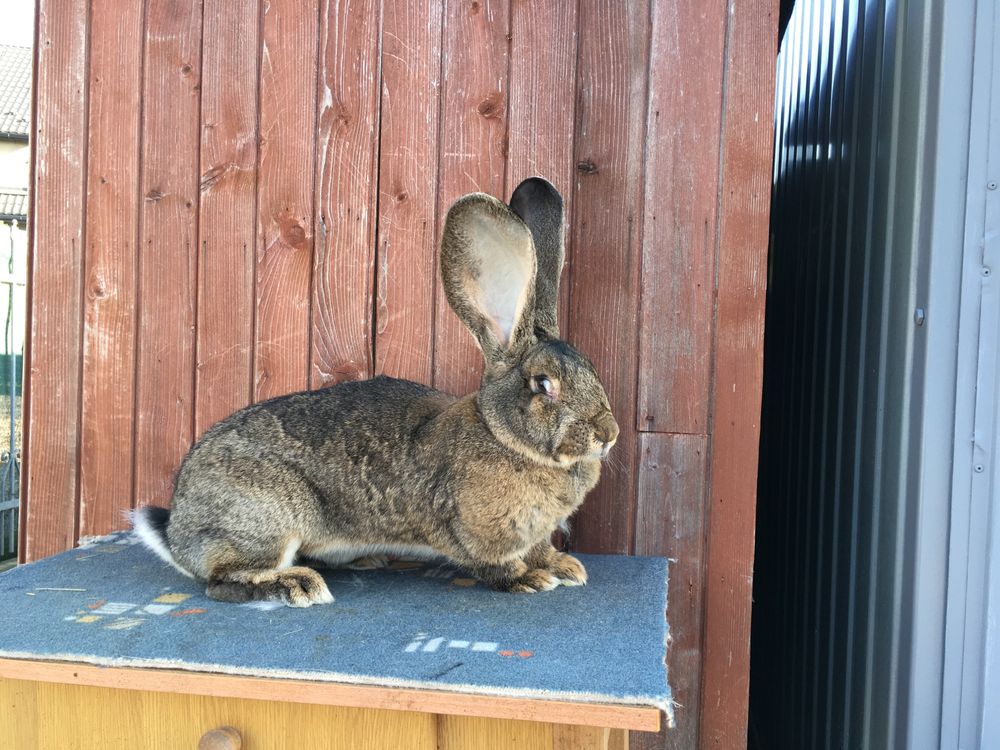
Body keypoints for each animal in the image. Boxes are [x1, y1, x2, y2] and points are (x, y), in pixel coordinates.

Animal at [133, 179, 616, 608]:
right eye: (544, 384)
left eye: (591, 368)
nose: (608, 433)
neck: (503, 437)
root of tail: (178, 532)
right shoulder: (474, 534)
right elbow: (494, 565)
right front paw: (530, 579)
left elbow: (541, 549)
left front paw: (565, 567)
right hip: (268, 518)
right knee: (221, 582)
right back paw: (297, 585)